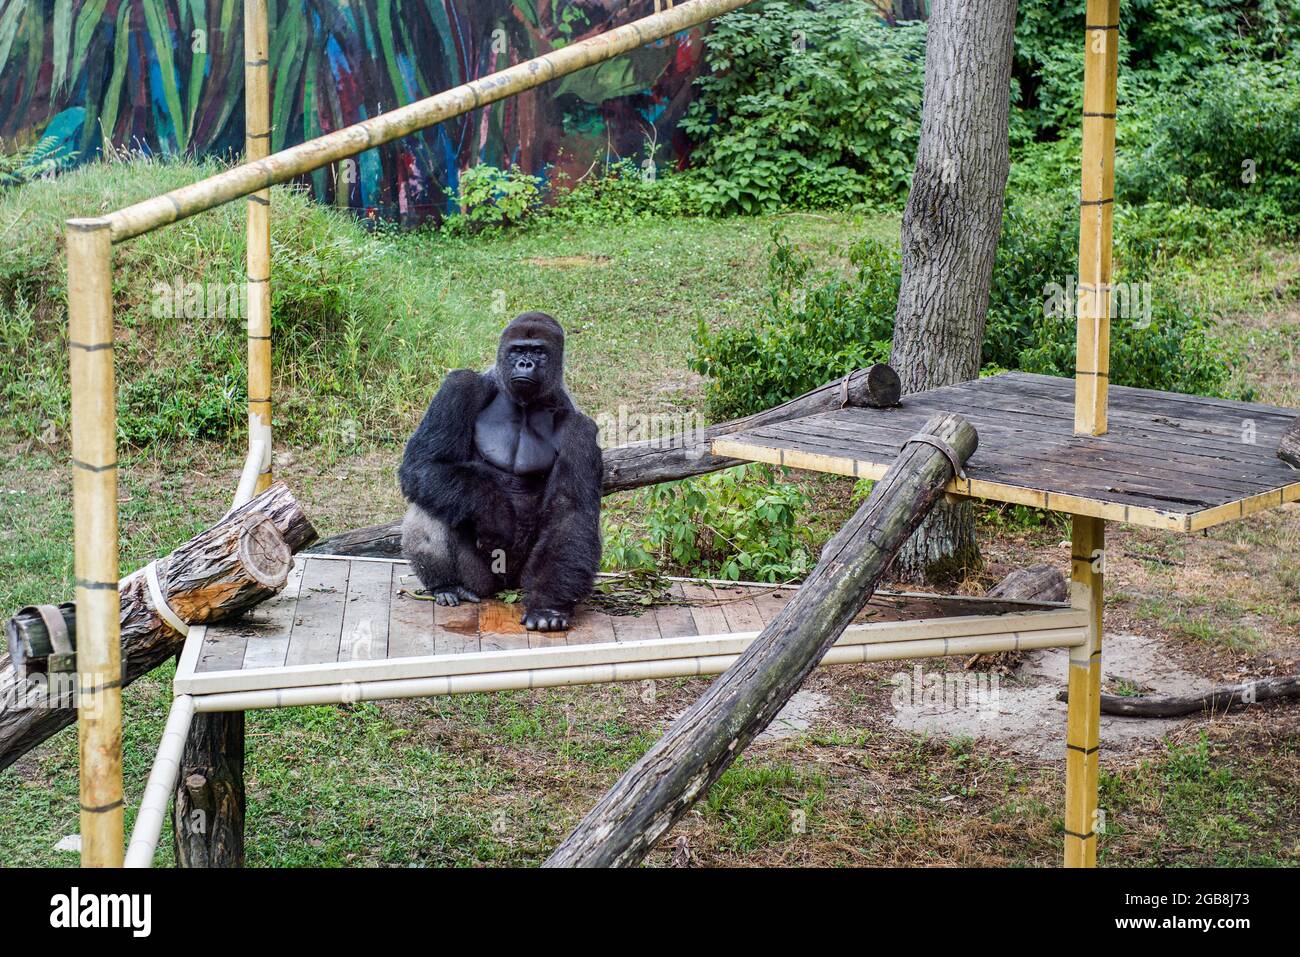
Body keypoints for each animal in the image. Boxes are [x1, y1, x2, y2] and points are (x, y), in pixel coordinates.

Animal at [397, 310, 600, 631]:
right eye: (517, 350)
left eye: (538, 352)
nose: (525, 364)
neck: (525, 404)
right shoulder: (462, 385)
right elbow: (426, 464)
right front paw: (494, 512)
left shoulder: (580, 427)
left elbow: (570, 510)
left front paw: (548, 606)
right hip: (480, 580)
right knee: (431, 497)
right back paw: (446, 585)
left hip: (517, 581)